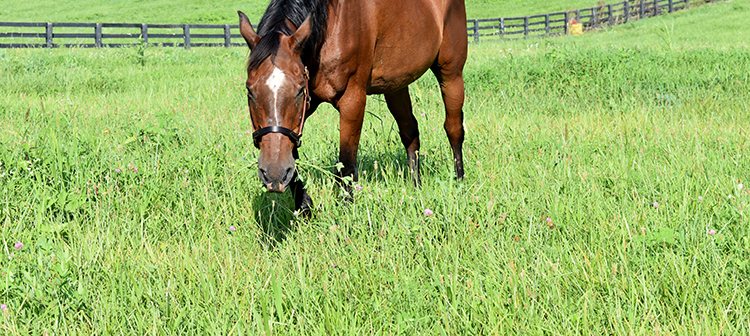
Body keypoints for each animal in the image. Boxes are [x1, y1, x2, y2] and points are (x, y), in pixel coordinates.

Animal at [239, 0, 470, 214]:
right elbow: (292, 154)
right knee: (410, 132)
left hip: (451, 74)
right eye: (249, 91)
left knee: (454, 129)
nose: (273, 174)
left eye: (298, 90)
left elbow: (347, 164)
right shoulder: (305, 109)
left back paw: (459, 182)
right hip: (396, 86)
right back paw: (416, 187)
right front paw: (304, 206)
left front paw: (346, 211)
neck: (332, 25)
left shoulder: (352, 100)